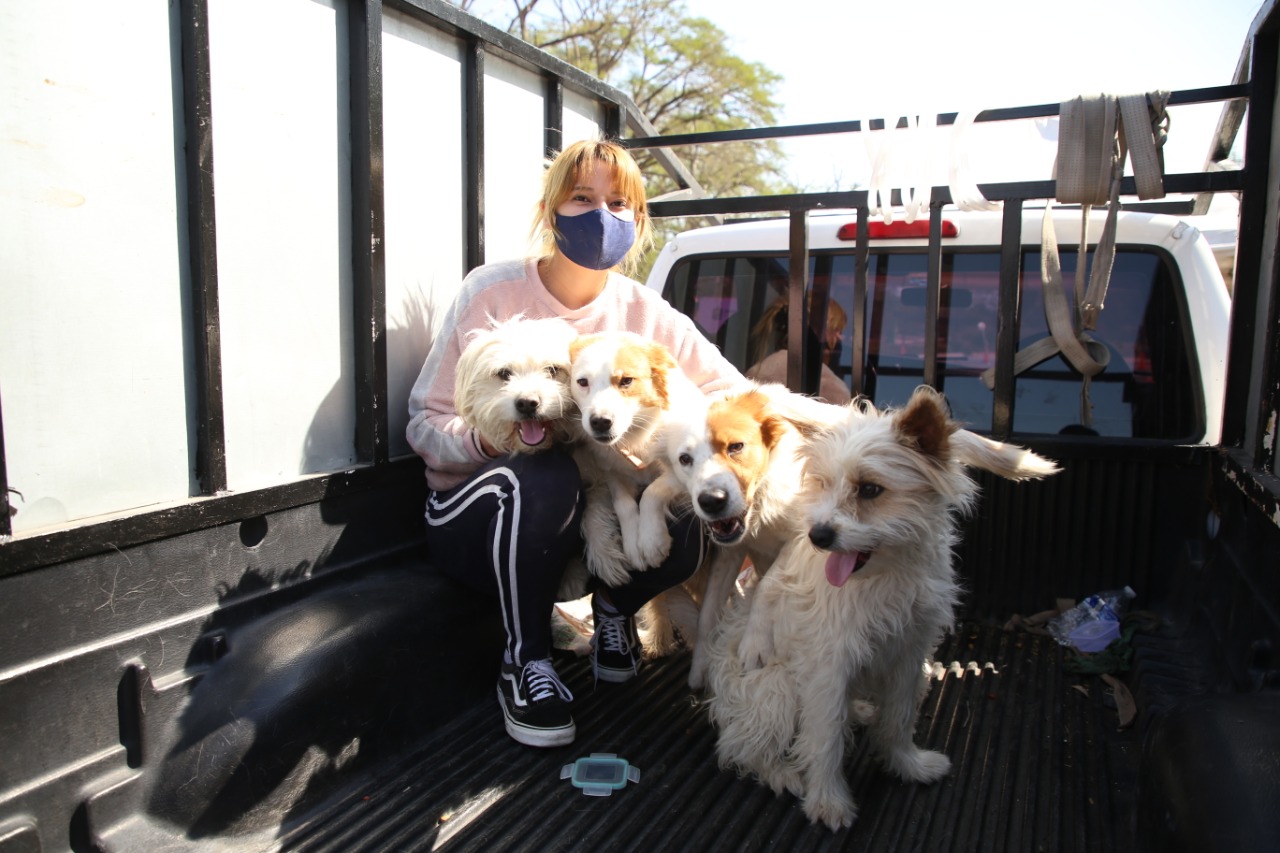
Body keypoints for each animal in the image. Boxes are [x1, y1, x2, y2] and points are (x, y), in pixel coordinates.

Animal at [706, 384, 1054, 824]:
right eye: (822, 483)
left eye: (870, 489)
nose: (818, 536)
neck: (884, 577)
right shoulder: (829, 665)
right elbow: (825, 737)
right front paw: (828, 801)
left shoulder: (909, 653)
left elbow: (899, 717)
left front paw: (907, 764)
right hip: (777, 689)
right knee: (741, 746)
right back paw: (781, 772)